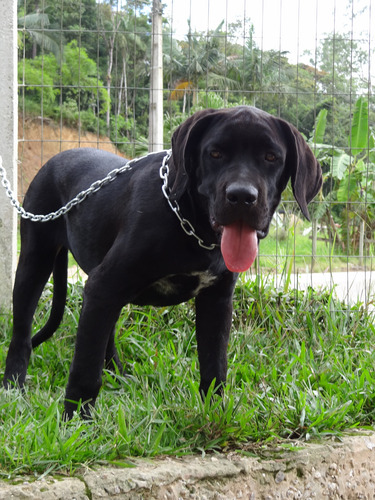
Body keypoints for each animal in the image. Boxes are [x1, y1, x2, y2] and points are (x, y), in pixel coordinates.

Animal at [2, 106, 324, 418]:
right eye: (215, 153)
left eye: (271, 157)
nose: (242, 196)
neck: (190, 223)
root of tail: (55, 157)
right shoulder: (104, 285)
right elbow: (85, 368)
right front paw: (76, 421)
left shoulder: (217, 299)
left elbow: (214, 366)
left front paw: (215, 415)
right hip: (34, 263)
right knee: (22, 335)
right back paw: (13, 387)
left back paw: (118, 375)